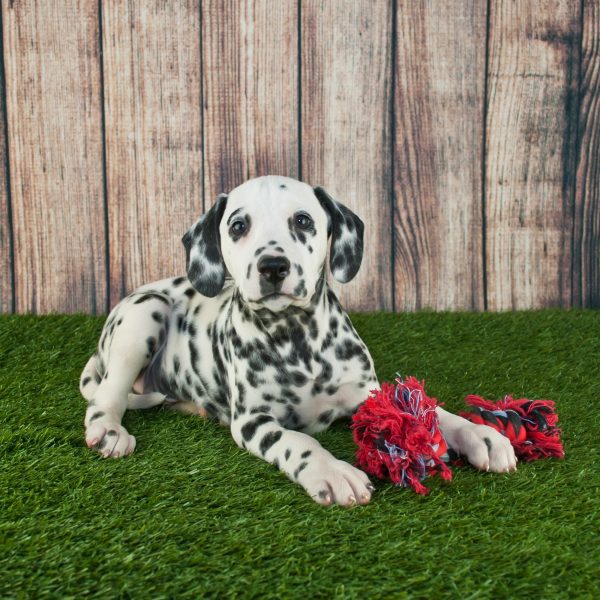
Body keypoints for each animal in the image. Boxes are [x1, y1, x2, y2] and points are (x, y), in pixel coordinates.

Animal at [79, 175, 516, 506]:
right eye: (238, 226)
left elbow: (427, 411)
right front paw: (333, 471)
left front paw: (478, 434)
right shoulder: (254, 421)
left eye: (303, 220)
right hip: (143, 317)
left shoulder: (367, 394)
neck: (298, 342)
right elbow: (295, 440)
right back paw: (110, 432)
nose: (273, 266)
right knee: (106, 397)